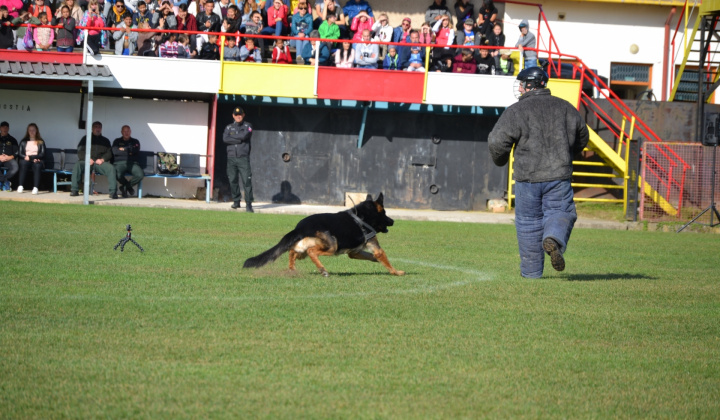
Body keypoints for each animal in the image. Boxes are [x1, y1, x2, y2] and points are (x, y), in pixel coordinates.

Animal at [245, 193, 404, 276]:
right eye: (385, 213)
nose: (393, 221)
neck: (362, 217)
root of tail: (300, 227)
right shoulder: (375, 247)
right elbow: (384, 258)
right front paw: (396, 272)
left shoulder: (355, 252)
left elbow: (371, 257)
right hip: (332, 245)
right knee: (311, 252)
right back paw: (322, 270)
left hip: (302, 248)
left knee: (292, 251)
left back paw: (292, 269)